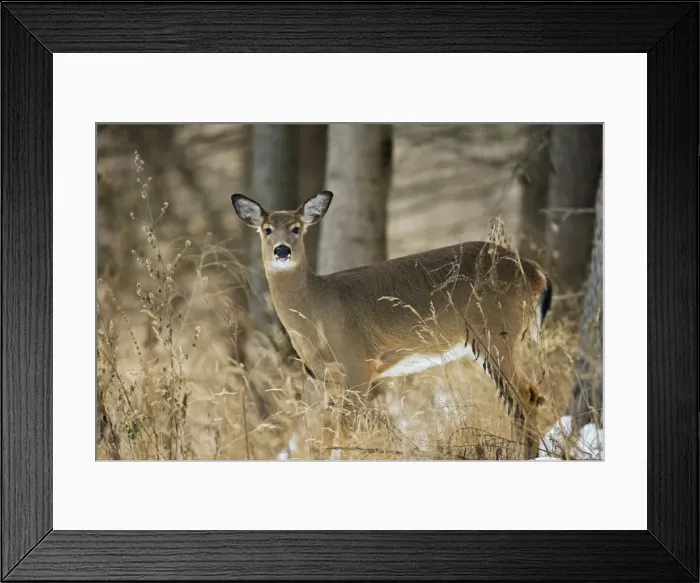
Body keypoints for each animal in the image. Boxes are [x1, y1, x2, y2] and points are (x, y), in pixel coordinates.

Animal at [231, 190, 556, 460]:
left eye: (297, 228)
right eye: (267, 229)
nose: (282, 250)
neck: (318, 310)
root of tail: (535, 272)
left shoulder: (357, 365)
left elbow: (347, 437)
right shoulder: (327, 379)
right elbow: (324, 438)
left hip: (497, 333)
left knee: (527, 397)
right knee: (525, 399)